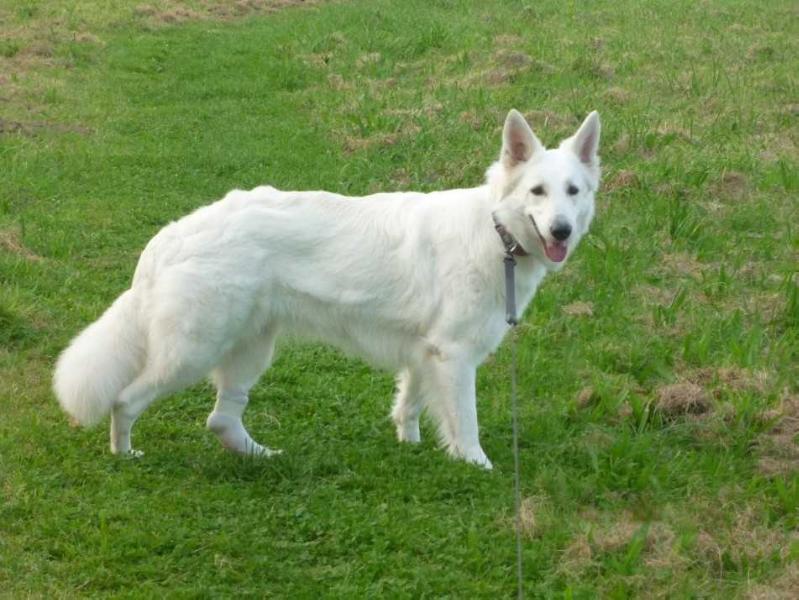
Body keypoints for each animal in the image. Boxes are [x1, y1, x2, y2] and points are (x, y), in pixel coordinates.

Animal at [53, 109, 600, 468]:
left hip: (250, 347)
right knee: (126, 400)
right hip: (191, 352)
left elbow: (409, 405)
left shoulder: (424, 354)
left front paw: (410, 444)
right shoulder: (454, 356)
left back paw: (260, 455)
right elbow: (465, 422)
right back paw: (125, 454)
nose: (561, 231)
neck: (495, 229)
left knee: (222, 419)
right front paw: (477, 466)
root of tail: (172, 234)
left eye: (573, 192)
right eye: (537, 192)